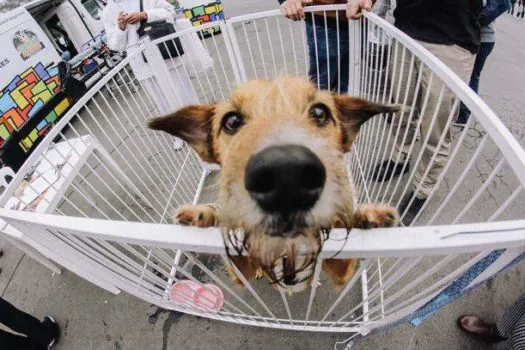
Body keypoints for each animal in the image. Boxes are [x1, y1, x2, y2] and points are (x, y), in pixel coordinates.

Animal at [149, 76, 400, 292]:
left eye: (320, 112)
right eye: (232, 121)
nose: (286, 176)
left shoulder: (338, 272)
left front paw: (368, 217)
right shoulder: (242, 270)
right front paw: (202, 217)